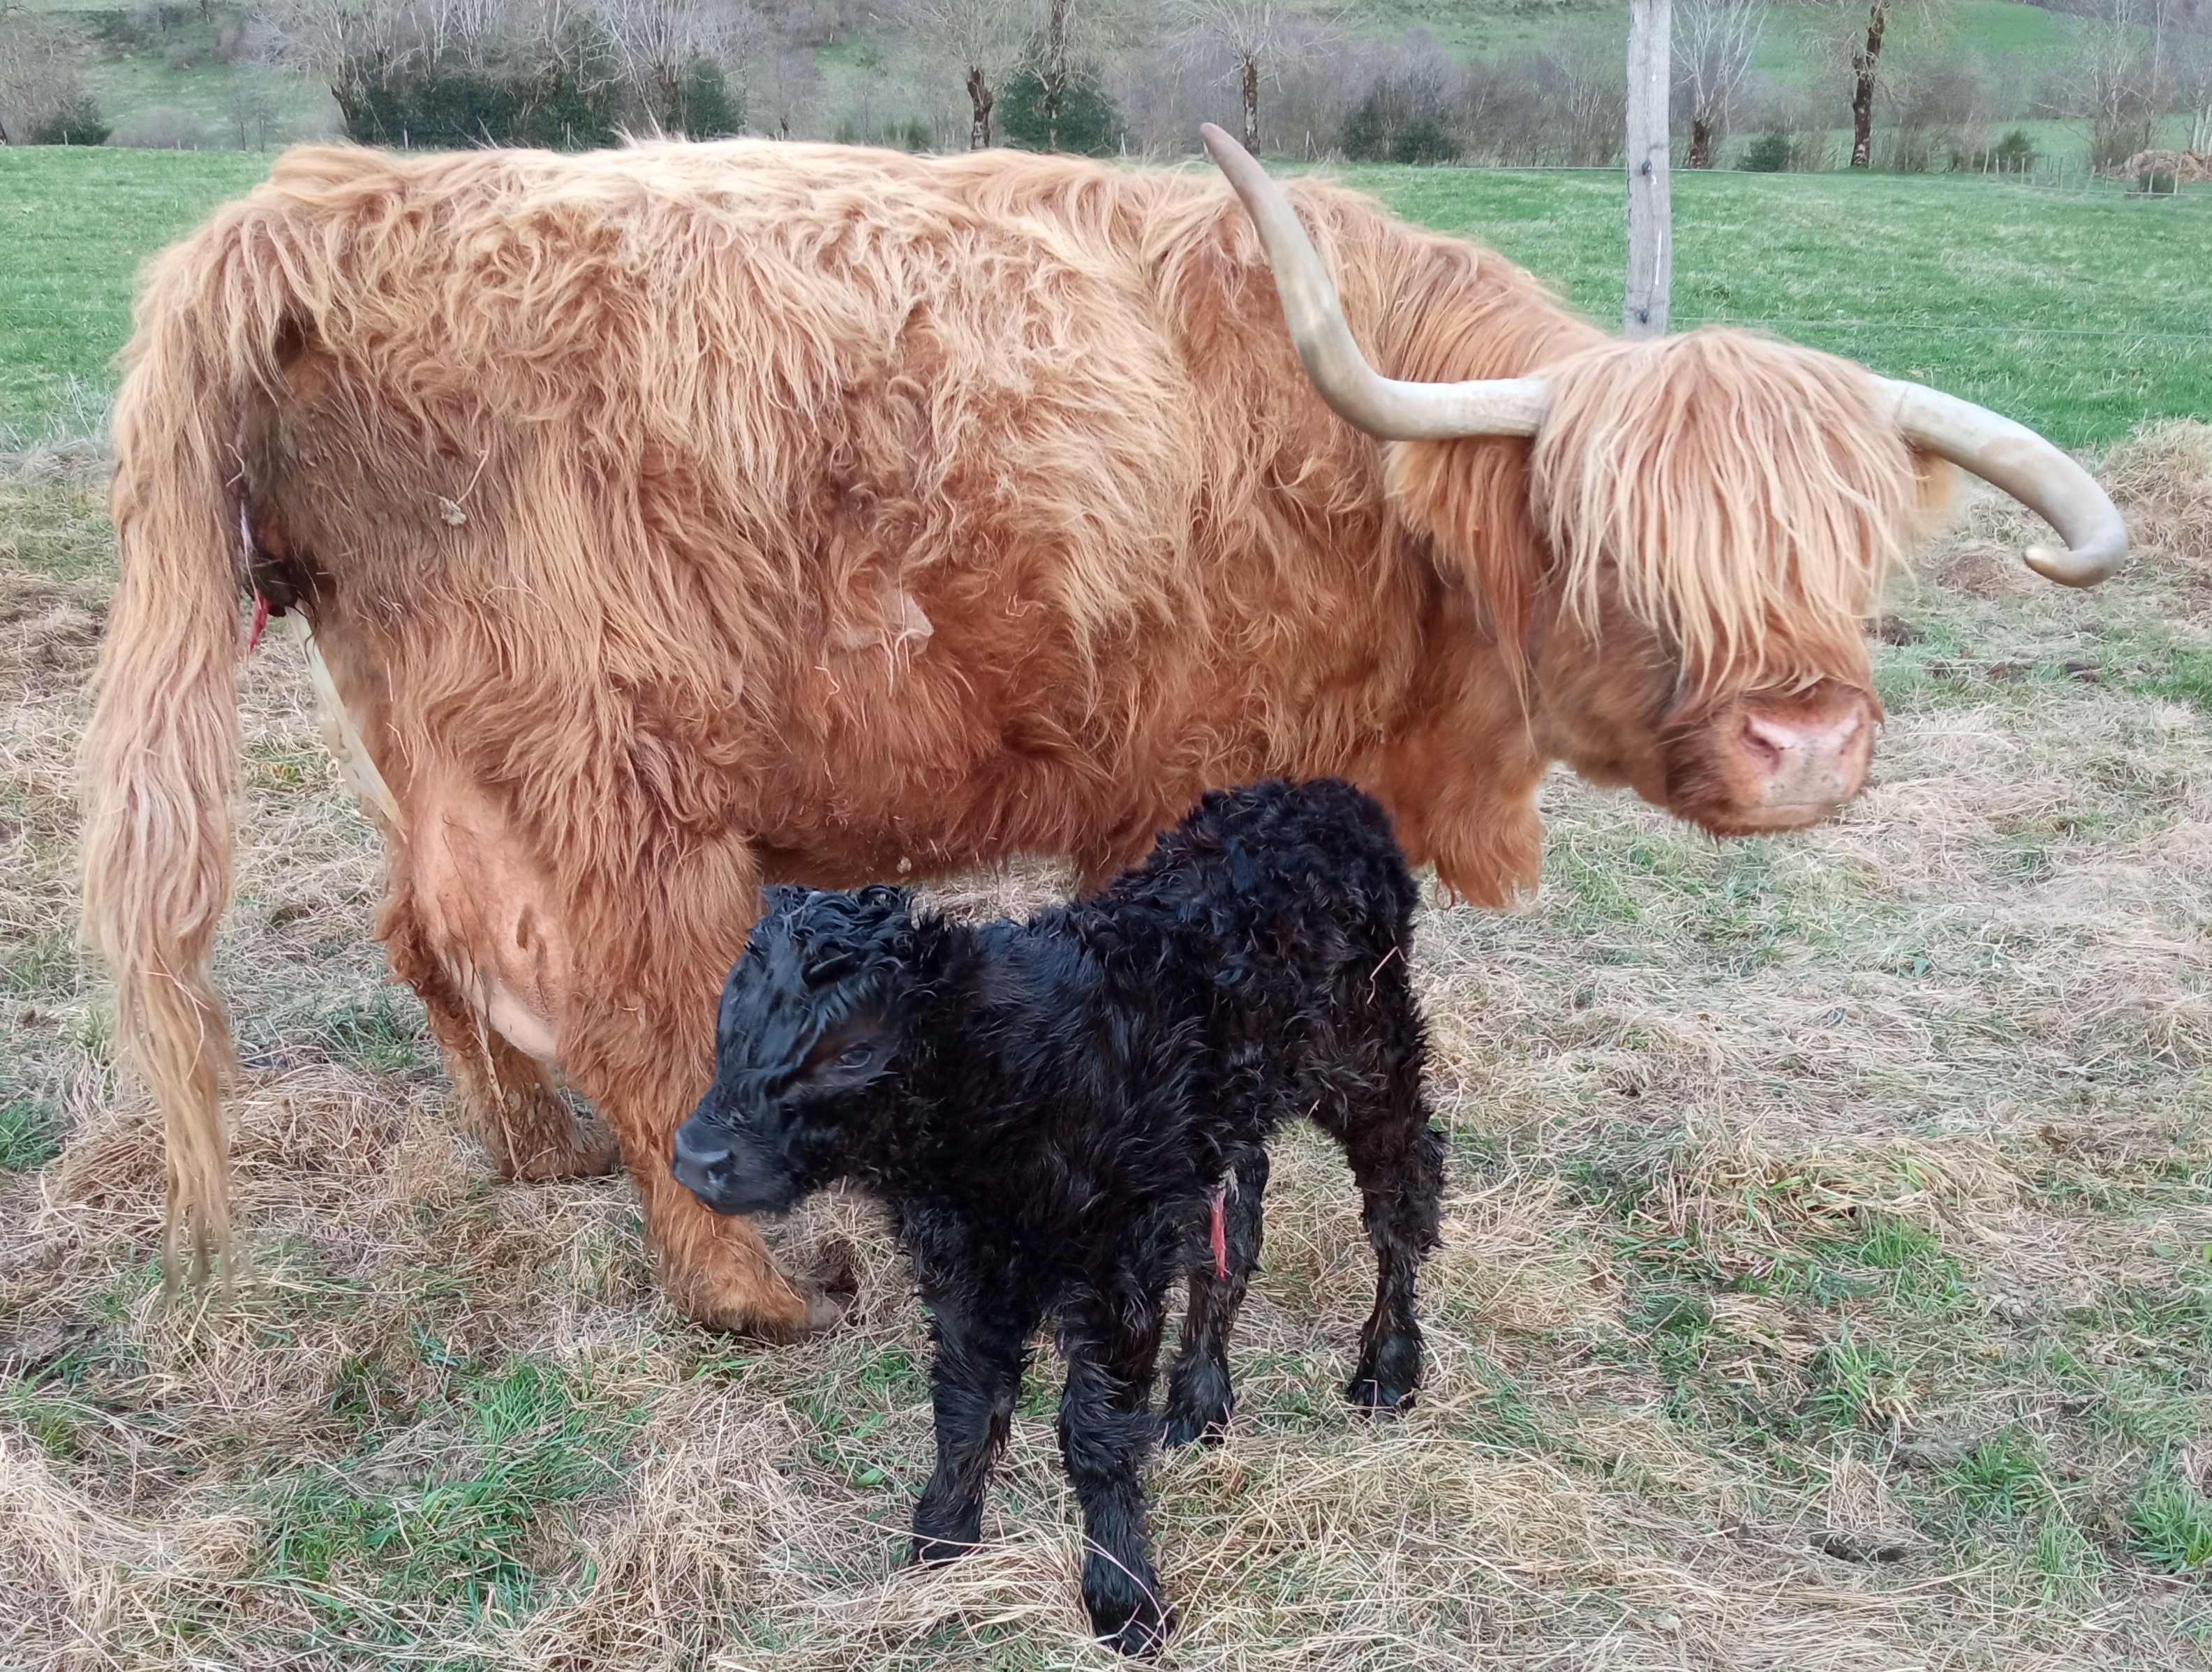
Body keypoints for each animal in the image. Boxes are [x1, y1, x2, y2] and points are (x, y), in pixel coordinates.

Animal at [82, 127, 2123, 1336]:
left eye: (1842, 548)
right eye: (1610, 546)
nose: (1805, 740)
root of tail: (328, 202)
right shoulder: (1186, 797)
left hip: (435, 753)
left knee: (427, 942)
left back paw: (535, 1159)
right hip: (611, 776)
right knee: (631, 1020)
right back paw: (762, 1290)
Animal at [672, 778, 1450, 1654]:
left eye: (852, 1050)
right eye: (728, 1017)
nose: (696, 1154)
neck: (1005, 1080)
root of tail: (1326, 795)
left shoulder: (1115, 1267)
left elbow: (1095, 1433)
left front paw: (1124, 1601)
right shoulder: (962, 1267)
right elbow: (965, 1407)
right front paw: (940, 1543)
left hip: (1368, 1049)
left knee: (1404, 1190)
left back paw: (1387, 1369)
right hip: (1223, 1120)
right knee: (1234, 1229)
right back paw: (1199, 1402)